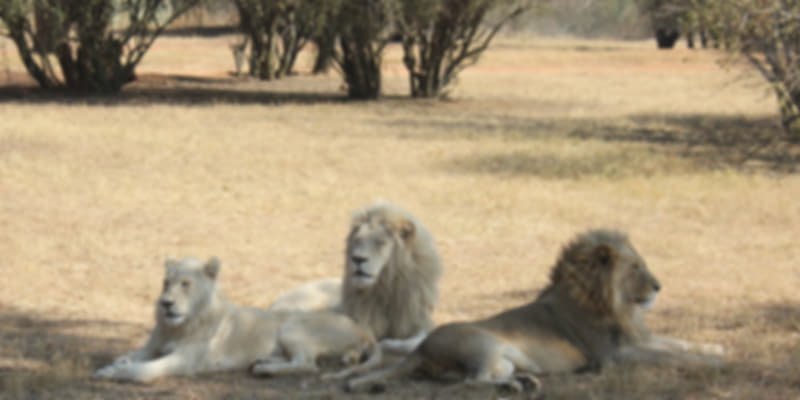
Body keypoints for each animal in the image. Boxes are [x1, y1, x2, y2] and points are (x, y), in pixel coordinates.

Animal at [93, 257, 375, 382]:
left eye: (185, 284)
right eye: (166, 283)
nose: (165, 303)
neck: (179, 326)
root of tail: (362, 329)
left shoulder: (184, 361)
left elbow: (141, 371)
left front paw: (111, 372)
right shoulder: (153, 347)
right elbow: (134, 355)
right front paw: (119, 361)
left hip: (292, 325)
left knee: (308, 364)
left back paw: (265, 369)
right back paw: (262, 361)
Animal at [346, 229, 725, 392]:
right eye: (635, 268)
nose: (659, 286)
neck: (618, 306)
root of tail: (421, 349)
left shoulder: (637, 339)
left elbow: (676, 343)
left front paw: (715, 348)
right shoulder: (613, 355)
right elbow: (671, 355)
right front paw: (713, 361)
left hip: (502, 358)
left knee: (477, 378)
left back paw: (522, 382)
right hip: (485, 344)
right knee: (471, 382)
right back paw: (515, 387)